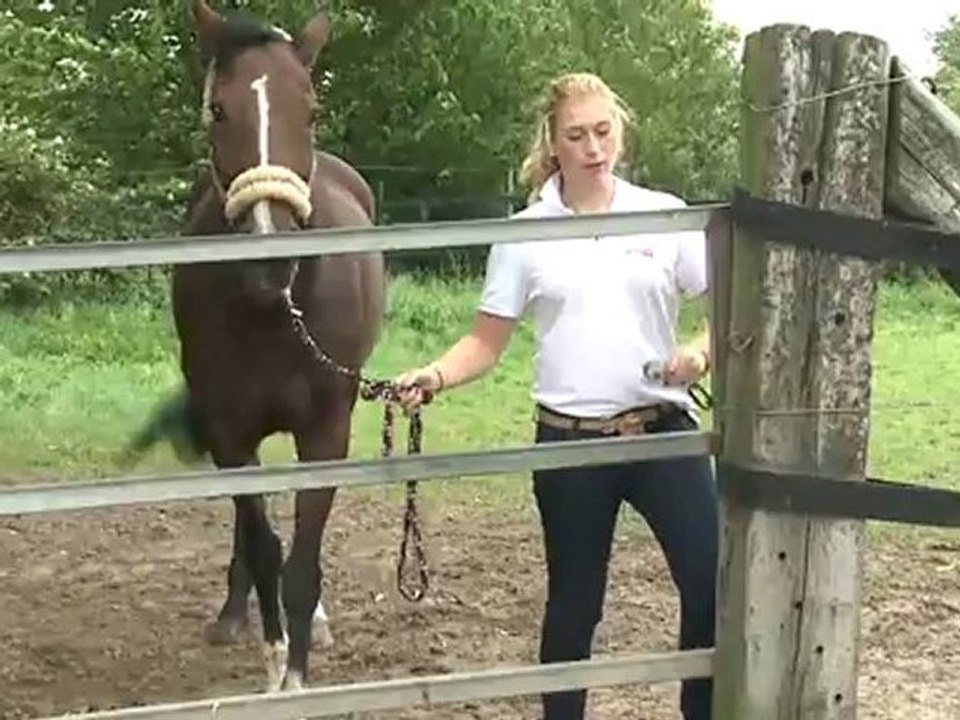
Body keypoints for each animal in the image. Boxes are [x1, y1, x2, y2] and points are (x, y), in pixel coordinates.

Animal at [125, 0, 385, 692]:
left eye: (311, 110)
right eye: (218, 109)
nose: (271, 256)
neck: (274, 314)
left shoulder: (326, 430)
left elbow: (303, 555)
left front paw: (297, 670)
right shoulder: (228, 431)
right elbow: (265, 546)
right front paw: (274, 660)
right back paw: (232, 613)